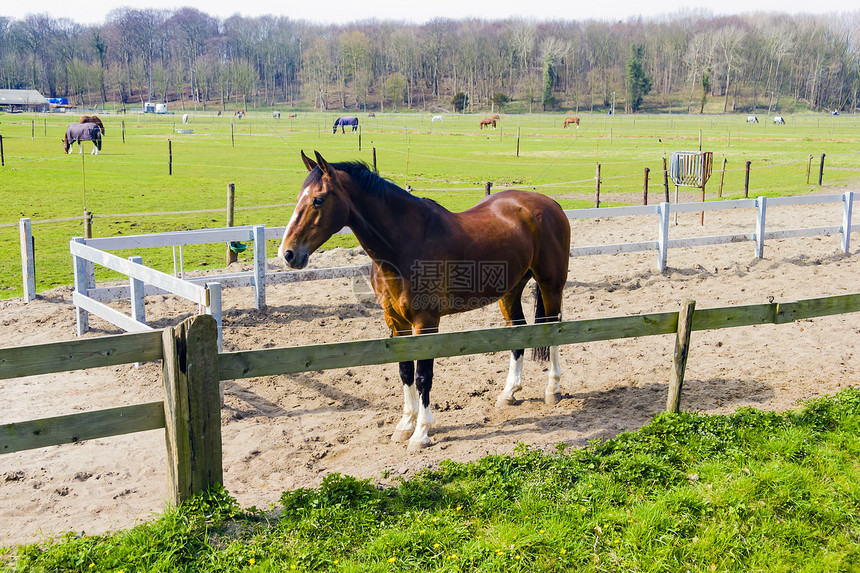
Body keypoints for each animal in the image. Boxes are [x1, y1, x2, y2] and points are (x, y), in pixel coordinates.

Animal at [278, 152, 572, 452]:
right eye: (299, 196)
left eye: (318, 200)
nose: (288, 253)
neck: (404, 244)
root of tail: (550, 204)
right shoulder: (396, 323)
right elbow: (405, 371)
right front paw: (405, 425)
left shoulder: (426, 323)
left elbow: (422, 377)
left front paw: (421, 432)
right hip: (510, 291)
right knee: (518, 331)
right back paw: (509, 392)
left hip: (551, 285)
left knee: (555, 330)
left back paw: (553, 390)